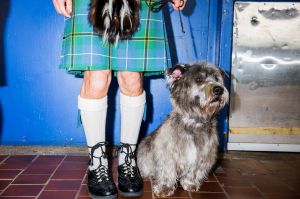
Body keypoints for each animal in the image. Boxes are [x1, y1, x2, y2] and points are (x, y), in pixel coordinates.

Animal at [137, 63, 229, 197]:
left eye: (217, 79)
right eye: (199, 79)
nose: (219, 89)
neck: (194, 122)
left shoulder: (201, 156)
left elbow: (193, 172)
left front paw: (190, 184)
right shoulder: (167, 154)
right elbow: (167, 171)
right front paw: (165, 188)